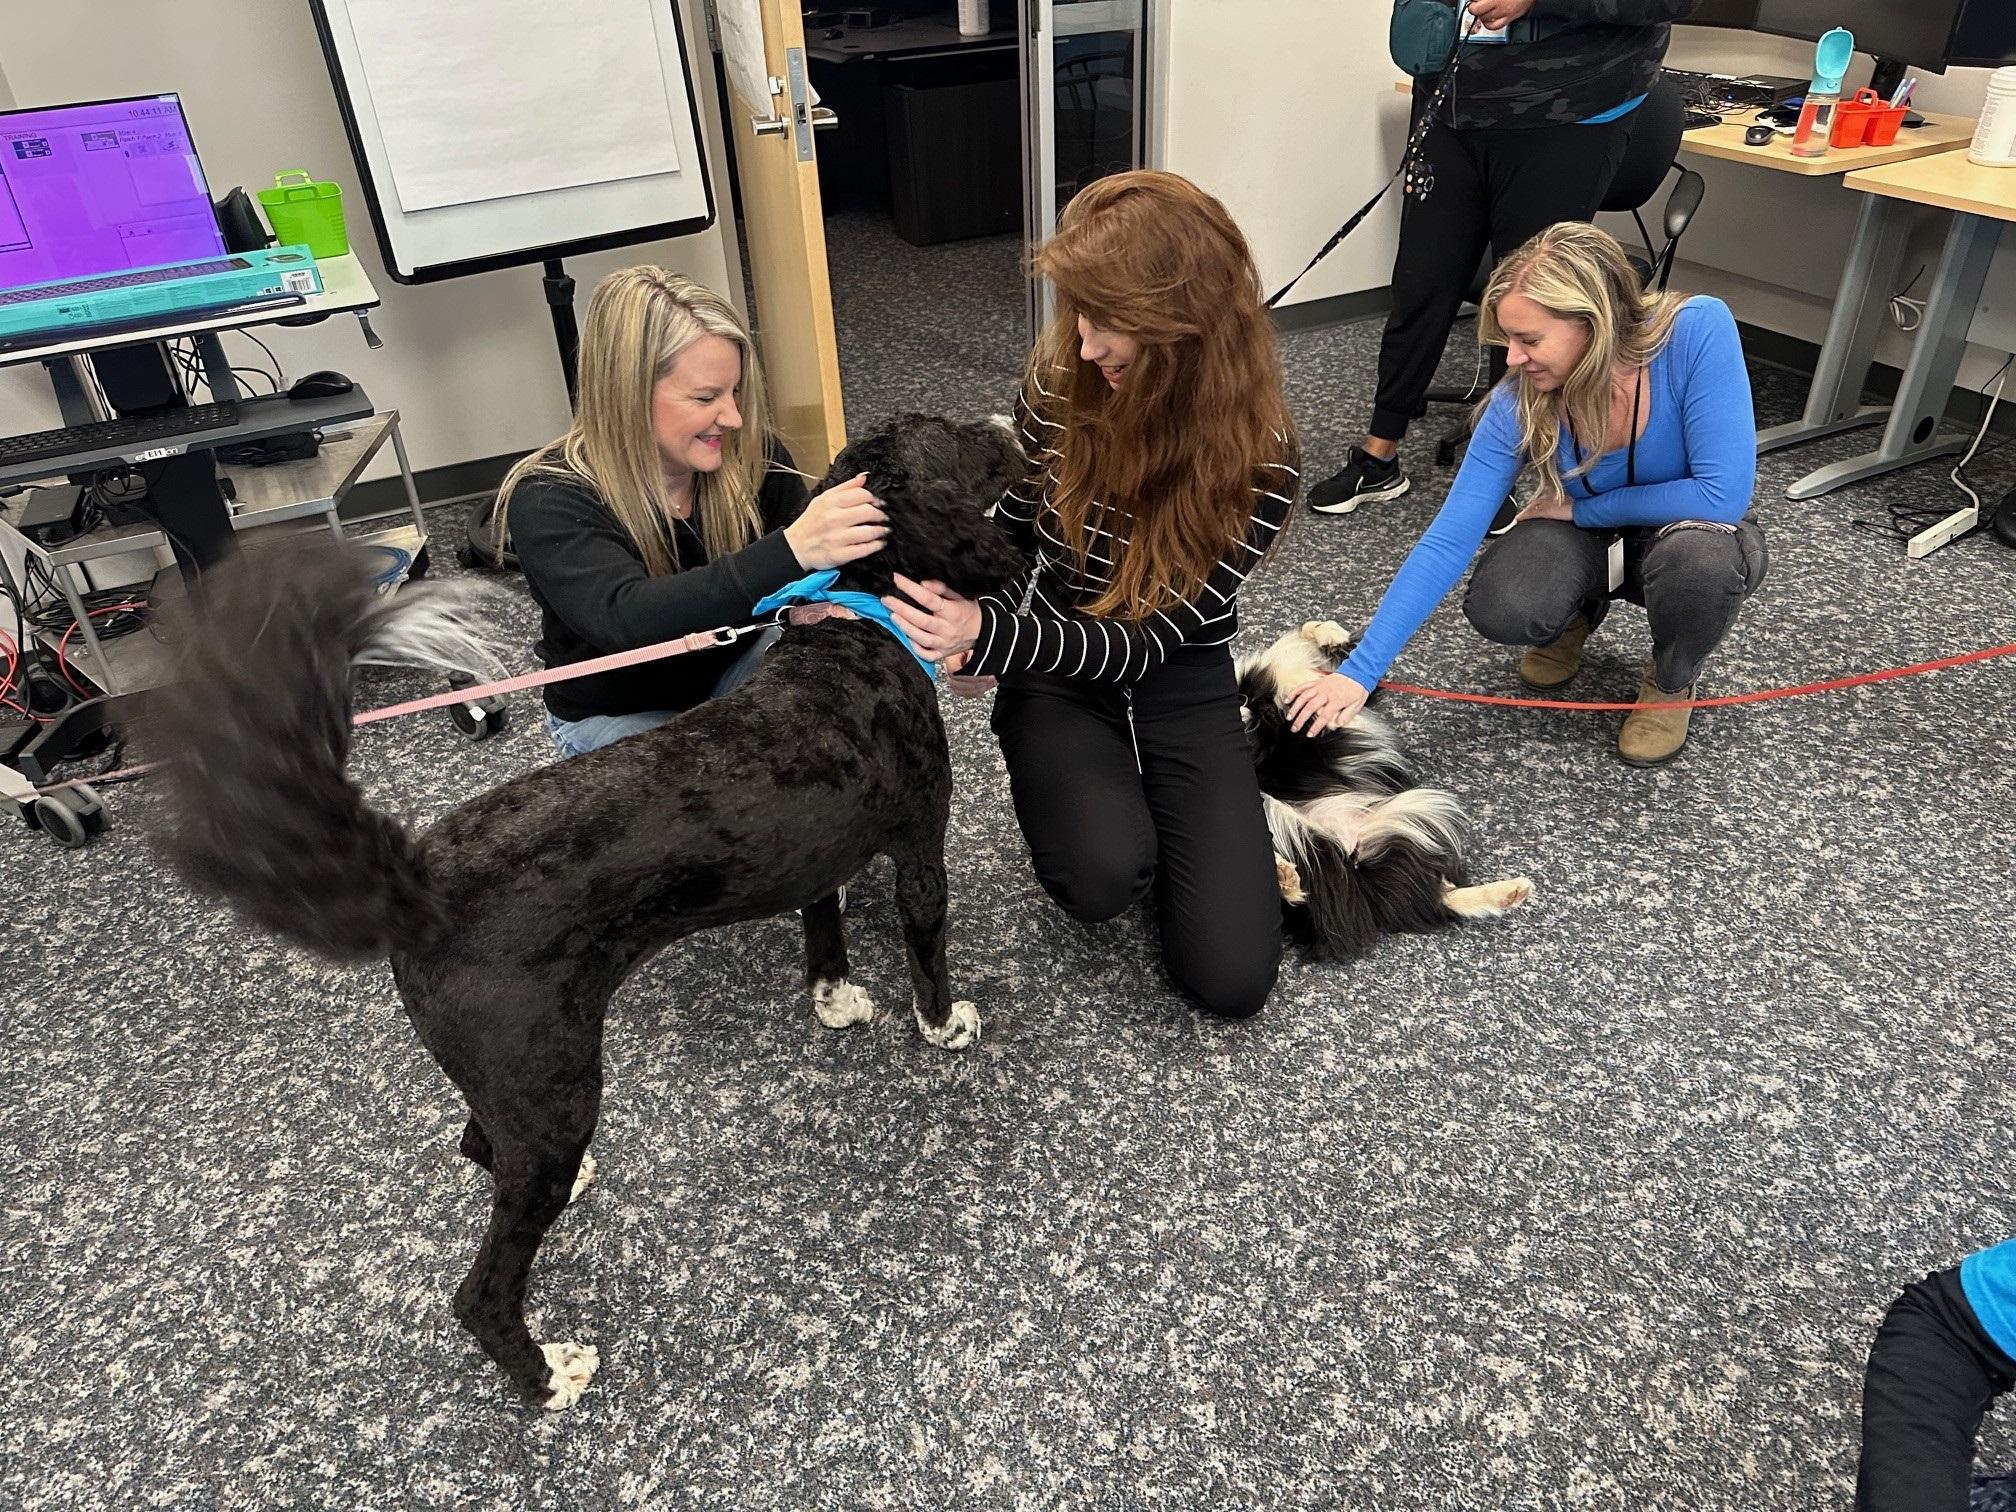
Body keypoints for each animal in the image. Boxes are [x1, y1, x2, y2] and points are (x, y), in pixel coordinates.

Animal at [149, 411, 1024, 1411]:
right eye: (952, 436)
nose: (1004, 419)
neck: (853, 622)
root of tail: (417, 880)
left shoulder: (815, 853)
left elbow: (823, 925)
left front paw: (835, 1000)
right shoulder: (920, 840)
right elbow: (926, 941)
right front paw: (944, 1023)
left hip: (511, 1082)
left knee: (477, 1142)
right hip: (553, 1081)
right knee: (480, 1288)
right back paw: (549, 1374)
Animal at [1233, 624, 1532, 959]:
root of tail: (1348, 849)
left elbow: (1326, 643)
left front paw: (1330, 635)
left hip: (1406, 822)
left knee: (1430, 896)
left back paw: (1510, 892)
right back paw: (1286, 878)